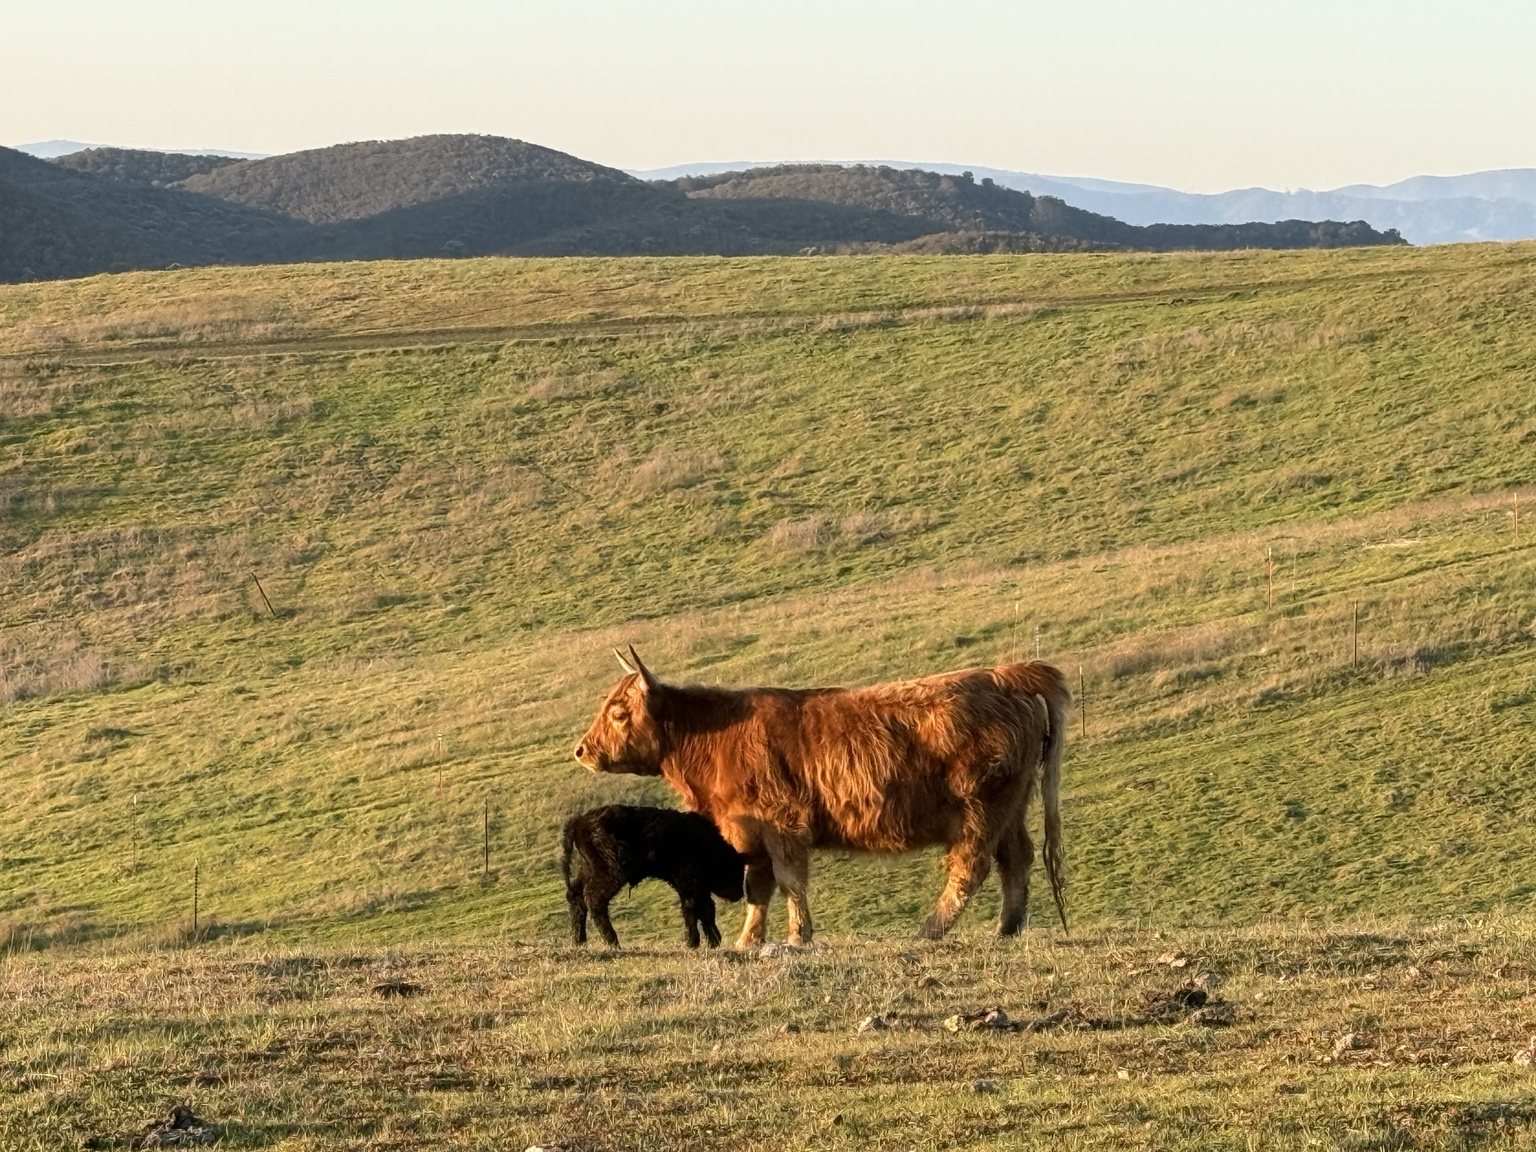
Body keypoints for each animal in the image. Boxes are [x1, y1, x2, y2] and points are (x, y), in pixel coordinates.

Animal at [561, 803, 746, 949]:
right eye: (734, 869)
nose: (738, 894)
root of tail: (578, 821)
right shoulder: (687, 883)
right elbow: (692, 908)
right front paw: (693, 943)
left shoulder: (698, 887)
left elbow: (706, 909)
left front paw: (713, 942)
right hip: (610, 873)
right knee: (594, 899)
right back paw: (613, 943)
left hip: (588, 869)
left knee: (576, 896)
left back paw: (579, 942)